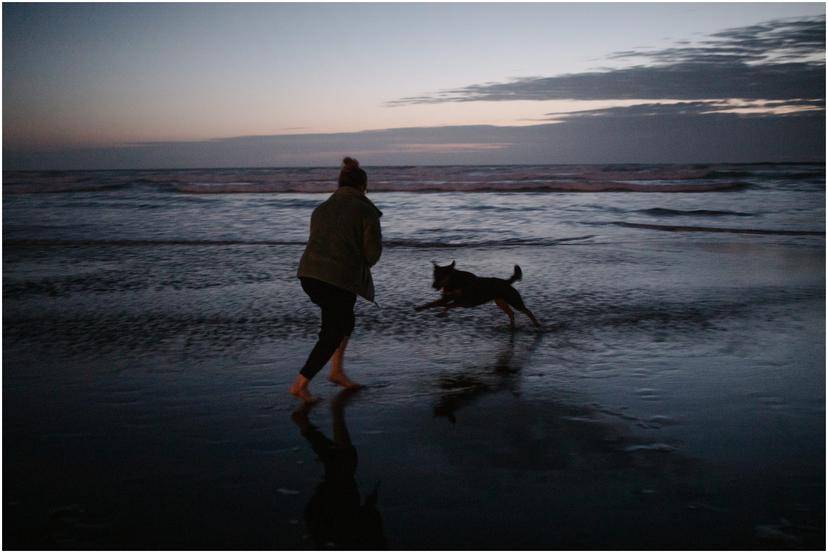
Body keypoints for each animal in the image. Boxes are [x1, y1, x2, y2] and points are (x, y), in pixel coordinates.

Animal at [414, 260, 544, 328]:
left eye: (441, 276)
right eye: (434, 276)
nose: (433, 286)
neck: (454, 282)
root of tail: (506, 282)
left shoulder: (465, 302)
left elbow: (448, 305)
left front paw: (443, 312)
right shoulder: (448, 298)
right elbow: (432, 303)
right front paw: (419, 308)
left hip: (514, 300)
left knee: (527, 311)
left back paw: (537, 325)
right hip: (500, 302)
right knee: (511, 313)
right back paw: (511, 326)